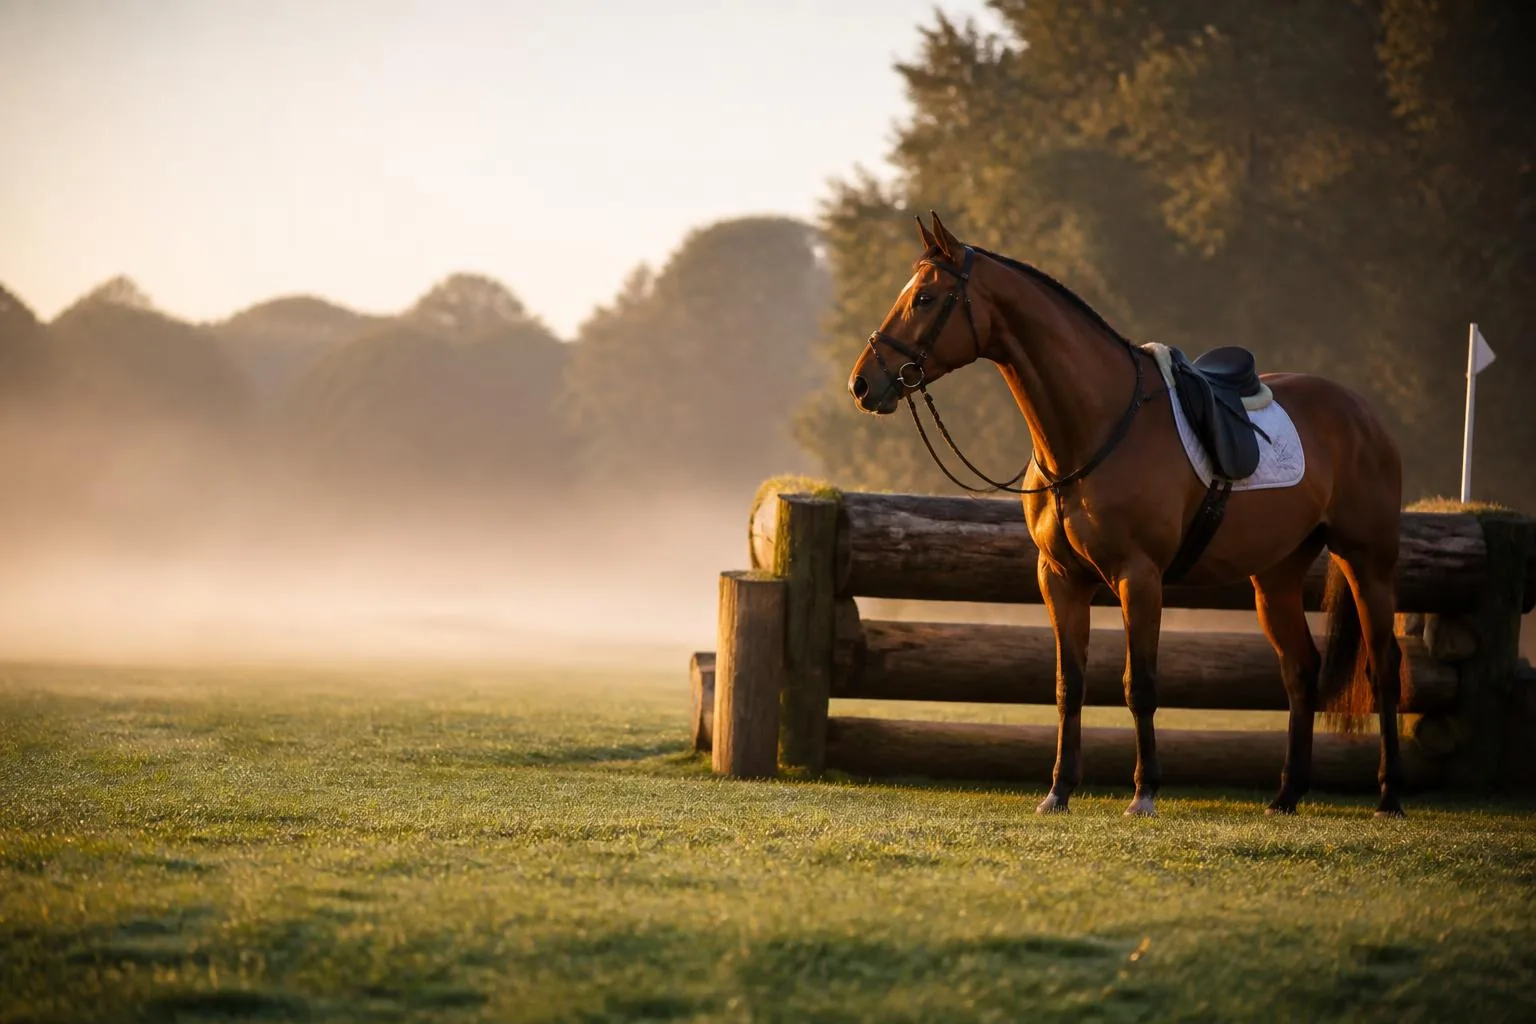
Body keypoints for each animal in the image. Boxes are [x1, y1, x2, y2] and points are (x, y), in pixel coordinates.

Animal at [847, 212, 1406, 818]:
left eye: (925, 297)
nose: (862, 383)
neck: (1097, 428)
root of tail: (1363, 413)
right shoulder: (1060, 580)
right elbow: (1069, 685)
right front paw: (1059, 791)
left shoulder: (1138, 579)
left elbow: (1140, 684)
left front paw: (1144, 793)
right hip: (1275, 576)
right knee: (1300, 670)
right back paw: (1286, 795)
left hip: (1367, 562)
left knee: (1384, 667)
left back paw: (1389, 796)